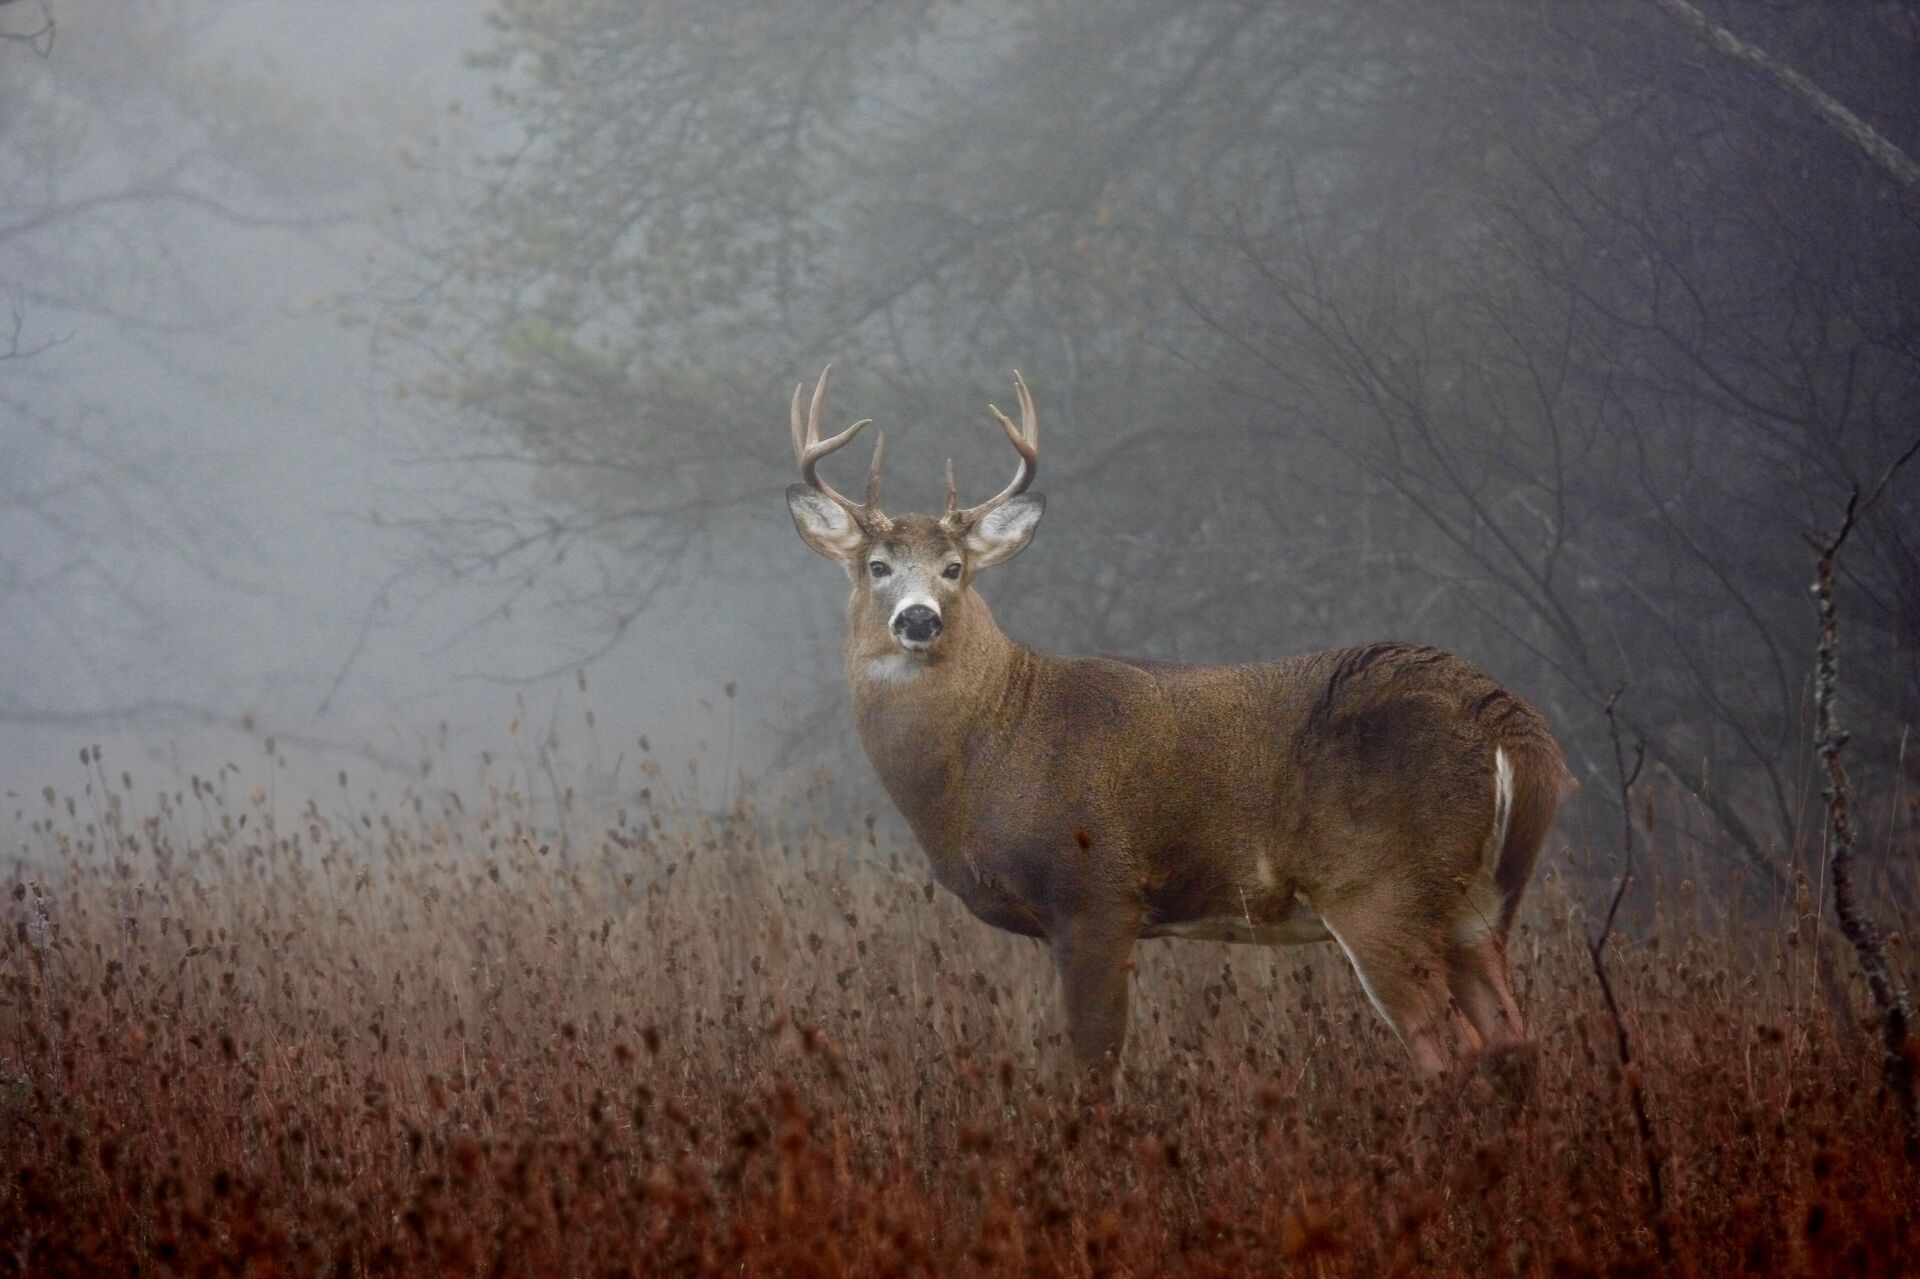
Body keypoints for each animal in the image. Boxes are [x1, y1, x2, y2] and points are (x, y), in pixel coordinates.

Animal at [779, 368, 1559, 1075]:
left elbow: (1093, 1065)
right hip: (1477, 905)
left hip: (1380, 886)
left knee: (1447, 1050)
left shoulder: (1096, 892)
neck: (994, 746)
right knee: (1513, 1040)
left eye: (953, 568)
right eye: (876, 566)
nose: (918, 619)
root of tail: (1513, 729)